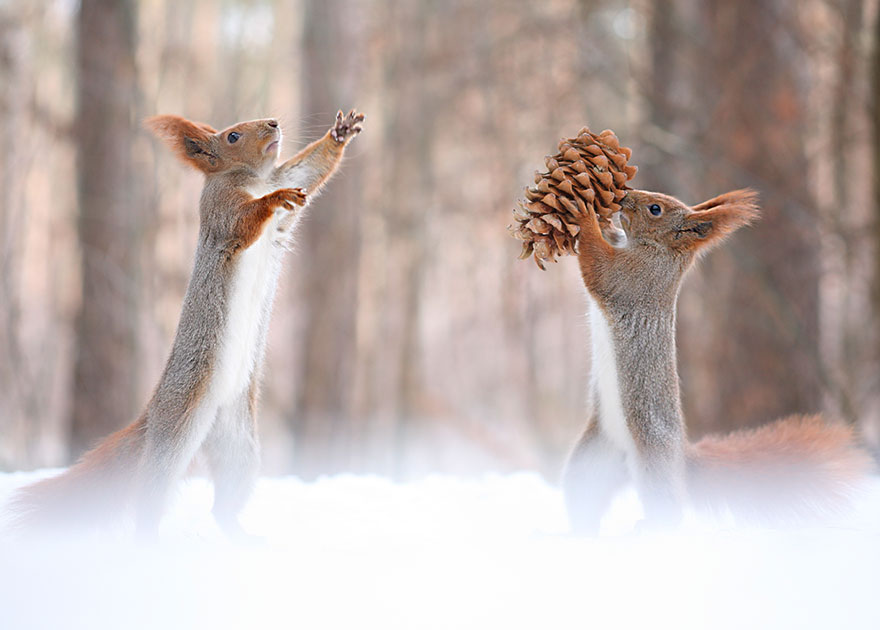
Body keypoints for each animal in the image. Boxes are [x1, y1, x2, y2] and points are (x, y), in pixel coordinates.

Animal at [5, 109, 365, 540]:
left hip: (240, 445)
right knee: (151, 492)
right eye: (232, 136)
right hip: (177, 430)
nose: (274, 123)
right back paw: (149, 541)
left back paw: (241, 536)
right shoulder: (220, 210)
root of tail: (155, 413)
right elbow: (243, 222)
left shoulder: (287, 177)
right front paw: (272, 200)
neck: (254, 179)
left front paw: (340, 133)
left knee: (224, 500)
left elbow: (310, 170)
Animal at [563, 188, 874, 534]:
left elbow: (599, 268)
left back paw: (648, 528)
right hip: (592, 463)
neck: (660, 251)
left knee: (668, 507)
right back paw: (577, 533)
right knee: (583, 498)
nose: (624, 196)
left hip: (654, 455)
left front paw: (584, 215)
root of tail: (682, 459)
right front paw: (601, 218)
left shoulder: (634, 278)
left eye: (655, 209)